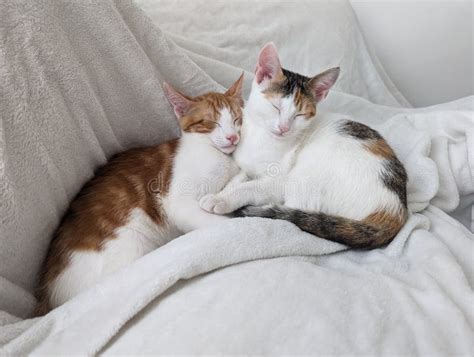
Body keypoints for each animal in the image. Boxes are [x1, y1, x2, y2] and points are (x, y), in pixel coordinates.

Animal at [36, 73, 244, 312]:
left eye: (236, 119)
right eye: (211, 122)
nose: (232, 138)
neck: (217, 155)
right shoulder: (177, 201)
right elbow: (216, 221)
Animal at [200, 43, 408, 248]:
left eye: (300, 115)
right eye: (276, 107)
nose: (283, 128)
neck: (261, 137)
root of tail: (394, 208)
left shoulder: (279, 179)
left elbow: (250, 187)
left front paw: (221, 199)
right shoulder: (246, 165)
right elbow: (240, 177)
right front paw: (225, 189)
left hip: (308, 176)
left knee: (295, 207)